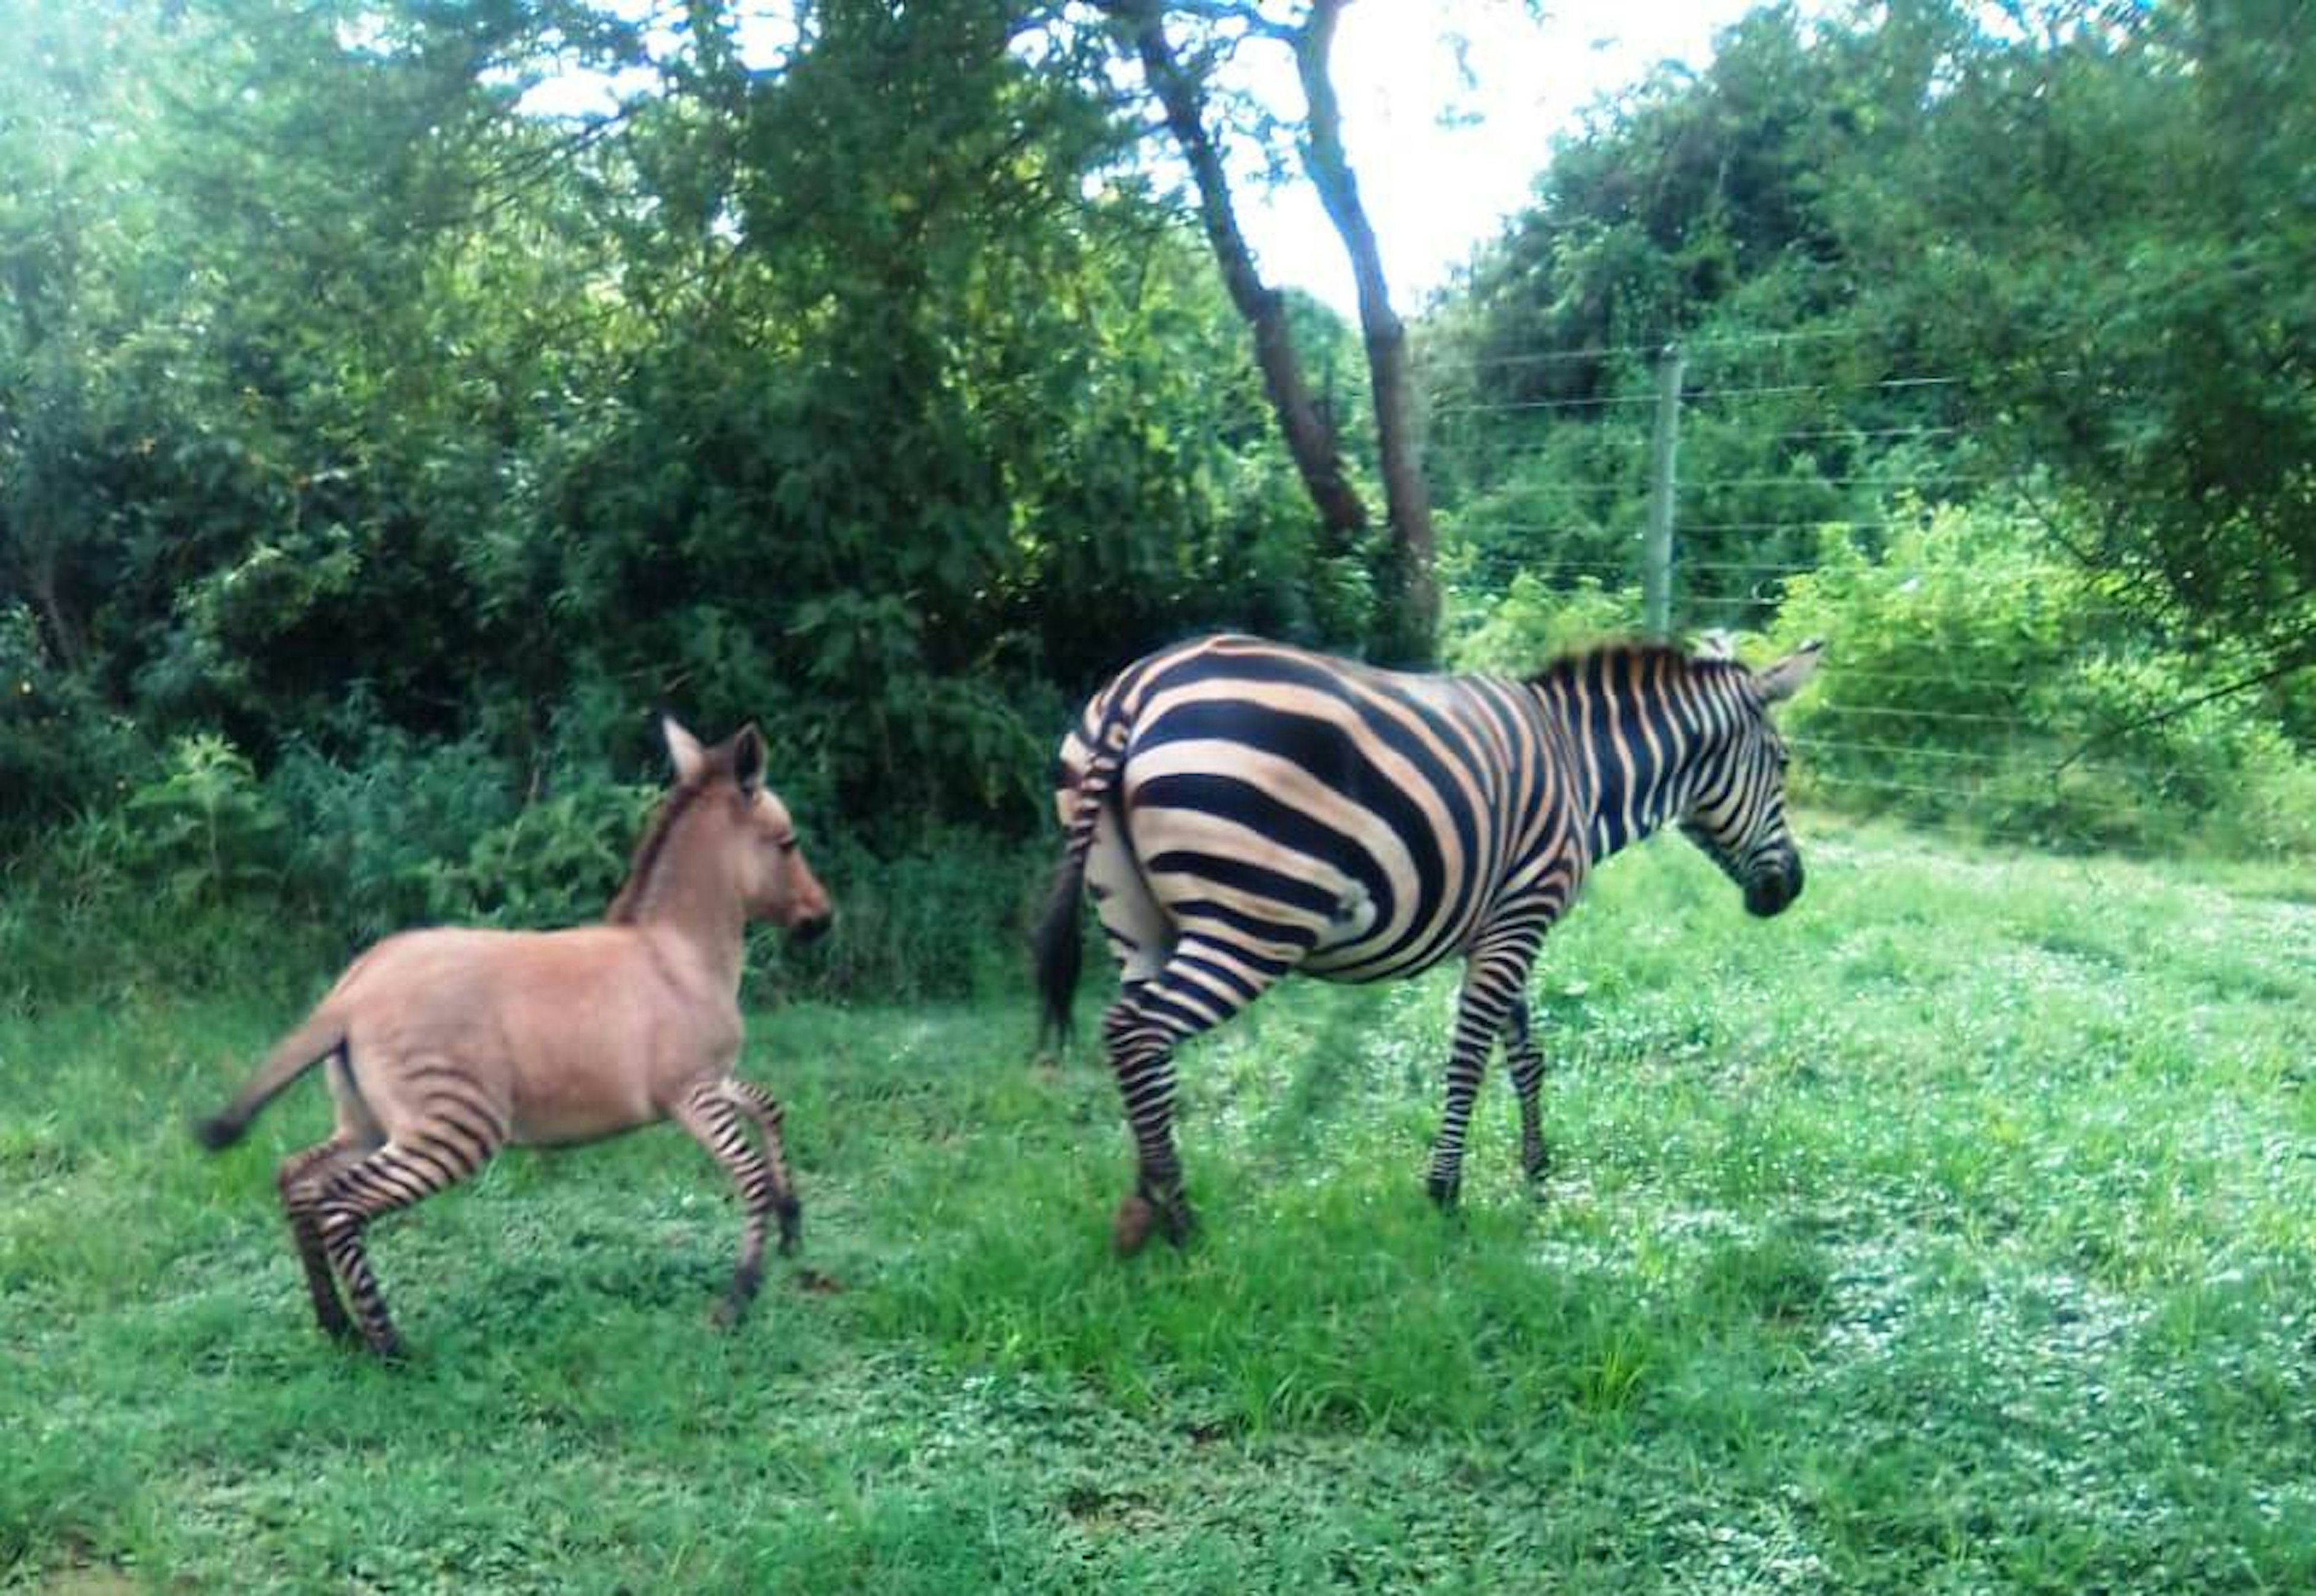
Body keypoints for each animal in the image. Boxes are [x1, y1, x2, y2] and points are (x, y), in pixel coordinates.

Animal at [1037, 629, 1824, 1251]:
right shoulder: (1520, 917)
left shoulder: (1502, 925)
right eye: (1784, 764)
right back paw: (1179, 1219)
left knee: (1140, 1046)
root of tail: (1137, 689)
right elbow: (1470, 1059)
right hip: (1253, 922)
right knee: (1137, 1031)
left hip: (1135, 921)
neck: (1584, 769)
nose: (1791, 889)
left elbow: (1526, 1055)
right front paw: (1445, 1193)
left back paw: (1147, 1197)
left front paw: (1538, 1171)